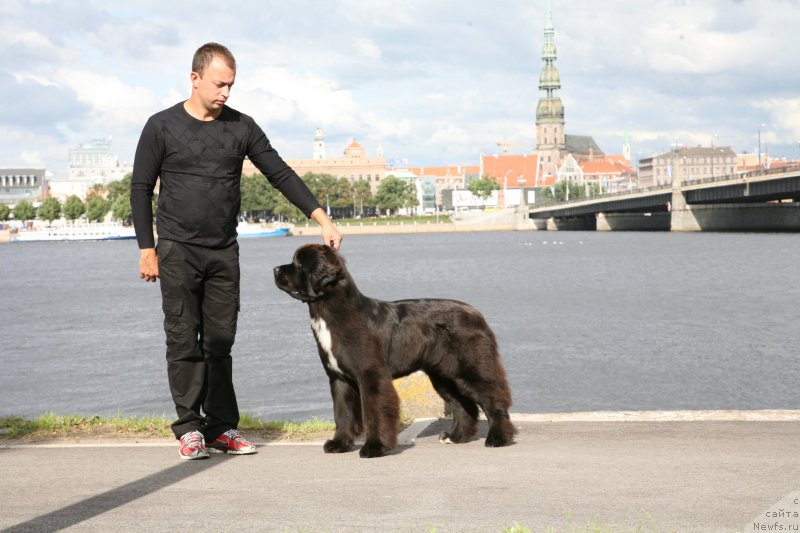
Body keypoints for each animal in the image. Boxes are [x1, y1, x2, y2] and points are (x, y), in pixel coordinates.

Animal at [272, 243, 516, 456]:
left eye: (298, 264)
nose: (275, 269)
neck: (330, 312)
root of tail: (476, 313)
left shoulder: (371, 376)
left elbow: (374, 412)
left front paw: (374, 448)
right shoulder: (339, 379)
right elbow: (342, 413)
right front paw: (339, 444)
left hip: (469, 367)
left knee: (493, 398)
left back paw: (498, 438)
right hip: (443, 375)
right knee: (463, 405)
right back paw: (456, 436)